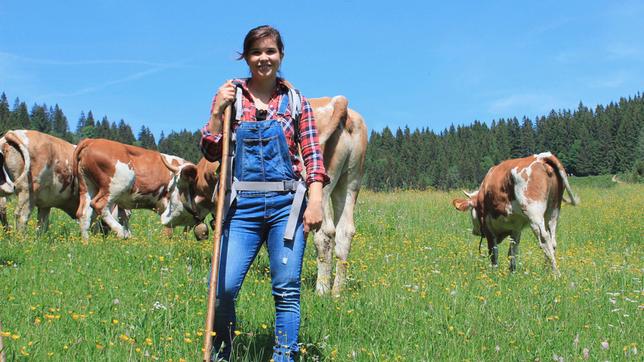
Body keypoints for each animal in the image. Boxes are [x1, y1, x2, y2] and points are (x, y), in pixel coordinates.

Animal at [160, 94, 368, 296]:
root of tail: (338, 102)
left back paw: (322, 290)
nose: (163, 218)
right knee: (345, 232)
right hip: (350, 183)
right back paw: (337, 292)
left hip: (321, 188)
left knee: (325, 233)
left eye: (172, 188)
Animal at [450, 152, 580, 274]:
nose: (474, 231)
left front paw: (494, 272)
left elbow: (493, 252)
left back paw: (555, 273)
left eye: (471, 210)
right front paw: (512, 271)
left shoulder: (489, 228)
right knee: (552, 241)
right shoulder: (516, 228)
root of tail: (541, 157)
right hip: (553, 211)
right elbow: (513, 250)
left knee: (544, 240)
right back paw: (547, 269)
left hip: (534, 213)